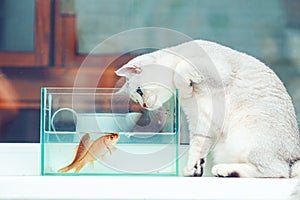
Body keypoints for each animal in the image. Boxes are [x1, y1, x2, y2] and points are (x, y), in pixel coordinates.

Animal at [114, 39, 300, 177]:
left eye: (139, 91)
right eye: (135, 98)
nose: (144, 105)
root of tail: (295, 156)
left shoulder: (212, 69)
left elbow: (181, 69)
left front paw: (185, 86)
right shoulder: (200, 120)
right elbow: (197, 147)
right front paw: (193, 169)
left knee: (279, 171)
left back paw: (226, 170)